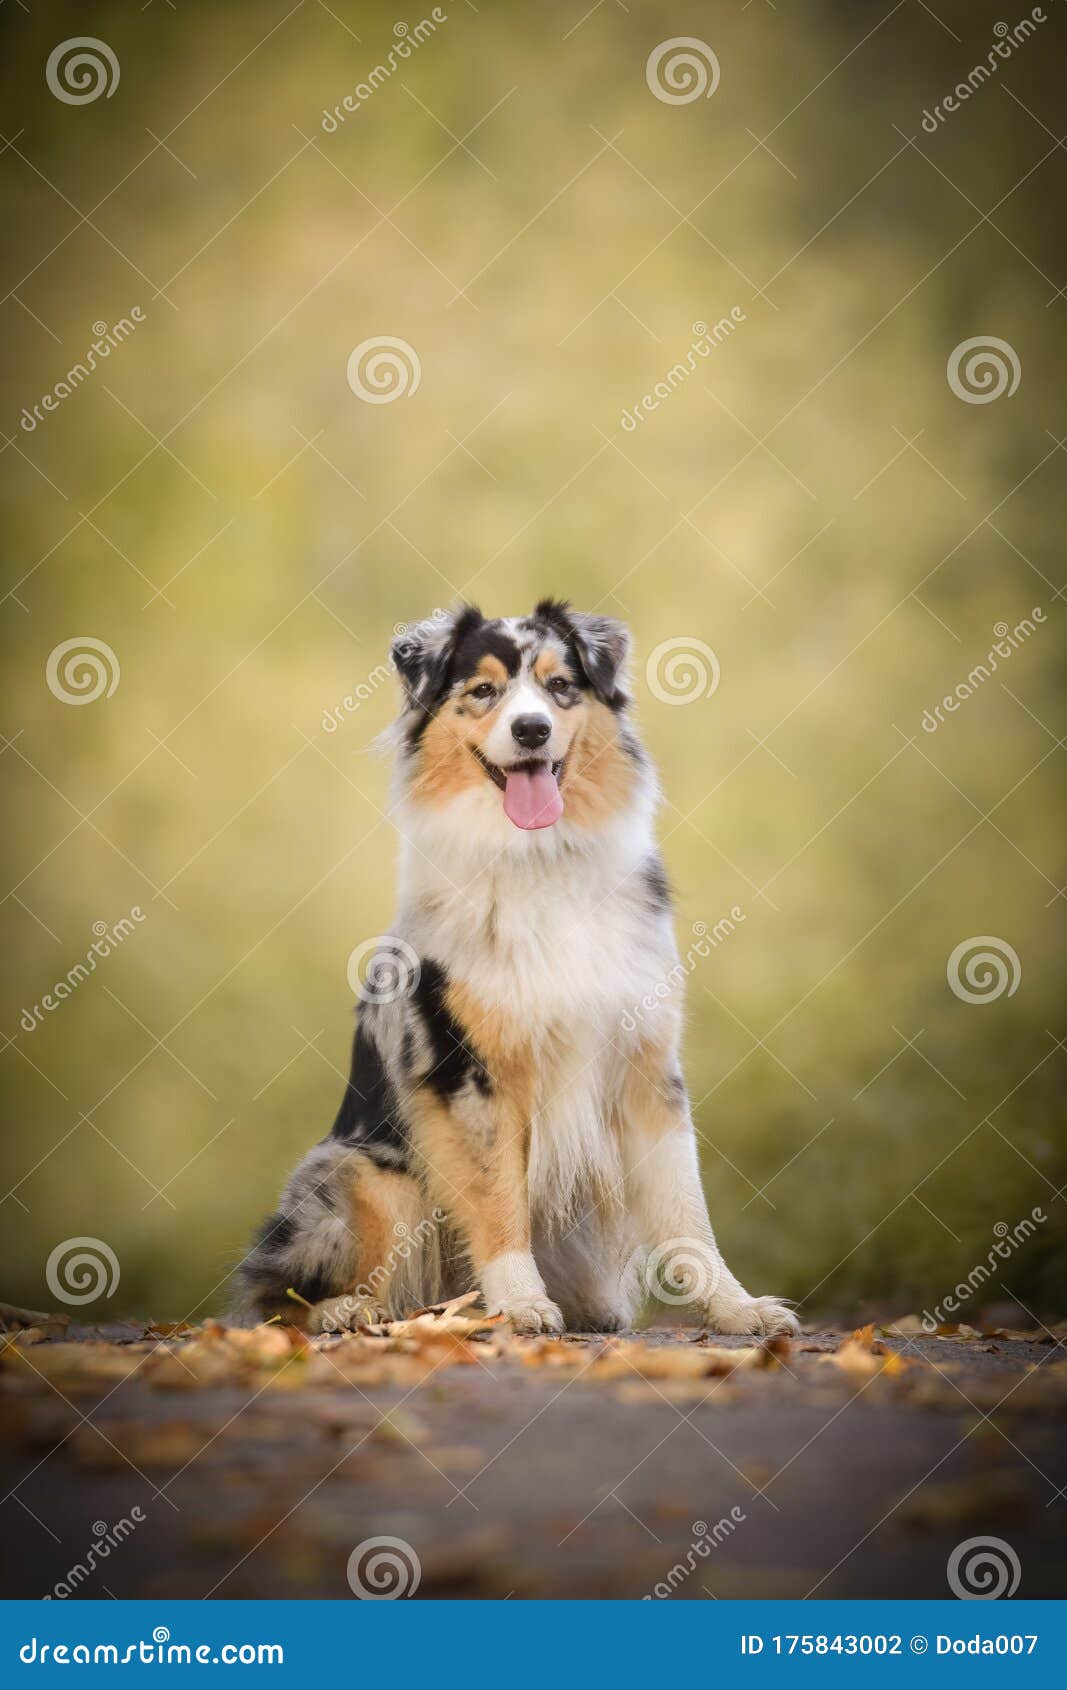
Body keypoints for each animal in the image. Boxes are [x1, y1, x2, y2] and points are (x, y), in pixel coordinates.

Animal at [233, 601, 801, 1338]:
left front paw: (737, 1308)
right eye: (483, 691)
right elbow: (497, 1198)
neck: (540, 860)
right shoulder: (471, 1072)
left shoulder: (645, 1068)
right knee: (276, 1292)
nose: (531, 728)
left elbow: (687, 1212)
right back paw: (351, 1312)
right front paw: (522, 1302)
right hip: (364, 1176)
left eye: (560, 686)